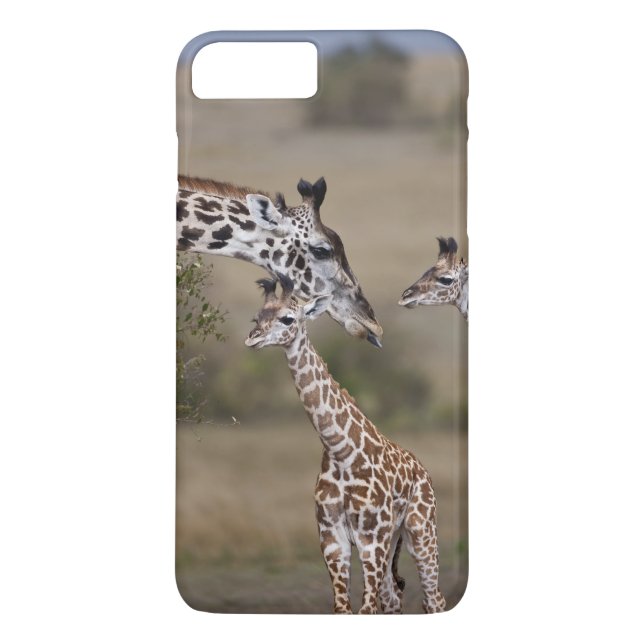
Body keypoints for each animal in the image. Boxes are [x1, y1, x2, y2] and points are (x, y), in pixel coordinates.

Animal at [245, 276, 446, 615]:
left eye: (288, 318)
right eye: (256, 318)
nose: (252, 339)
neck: (341, 450)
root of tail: (422, 469)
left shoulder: (371, 538)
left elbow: (366, 609)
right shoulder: (332, 537)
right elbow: (344, 608)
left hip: (420, 530)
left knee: (434, 598)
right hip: (394, 539)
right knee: (394, 597)